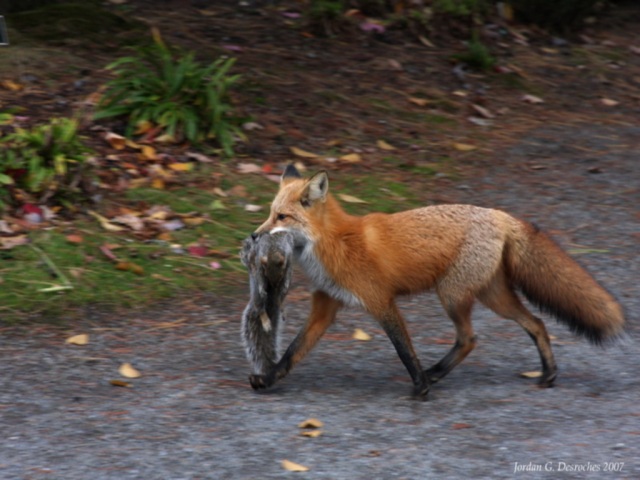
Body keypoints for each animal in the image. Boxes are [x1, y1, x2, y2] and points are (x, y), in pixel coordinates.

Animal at [249, 165, 624, 398]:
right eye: (268, 213)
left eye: (282, 217)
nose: (253, 236)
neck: (335, 242)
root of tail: (500, 215)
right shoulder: (326, 305)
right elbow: (293, 351)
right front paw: (268, 378)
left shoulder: (381, 301)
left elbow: (404, 349)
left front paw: (419, 387)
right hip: (491, 295)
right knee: (535, 323)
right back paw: (547, 373)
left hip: (452, 294)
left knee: (470, 339)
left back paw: (432, 376)